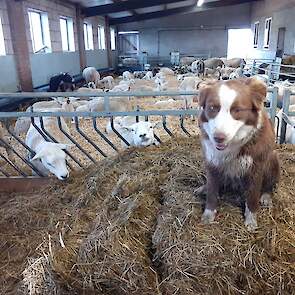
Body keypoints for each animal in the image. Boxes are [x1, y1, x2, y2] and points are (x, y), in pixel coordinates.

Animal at [198, 78, 280, 231]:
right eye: (212, 108)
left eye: (237, 110)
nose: (218, 138)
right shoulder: (212, 162)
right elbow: (212, 191)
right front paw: (208, 214)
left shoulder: (255, 167)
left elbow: (252, 196)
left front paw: (251, 220)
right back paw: (203, 188)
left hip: (273, 159)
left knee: (269, 185)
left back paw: (266, 196)